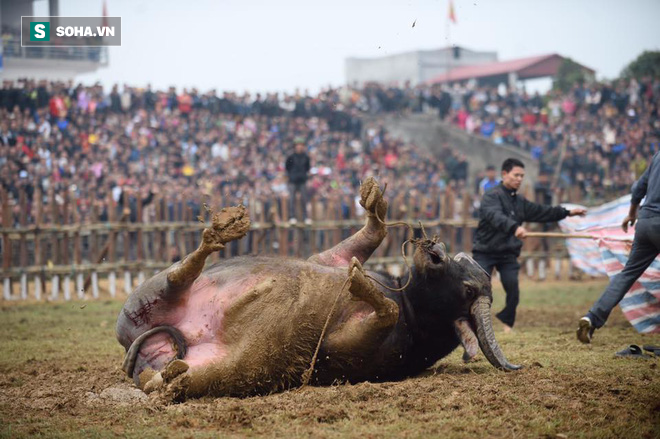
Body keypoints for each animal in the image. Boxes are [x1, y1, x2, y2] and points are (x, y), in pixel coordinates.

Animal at [117, 178, 520, 402]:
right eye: (460, 267)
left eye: (470, 290)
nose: (434, 251)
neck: (408, 302)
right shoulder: (327, 258)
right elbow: (372, 235)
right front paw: (375, 205)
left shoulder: (345, 348)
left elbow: (383, 310)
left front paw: (359, 283)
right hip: (144, 301)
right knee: (183, 274)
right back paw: (223, 230)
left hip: (230, 368)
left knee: (169, 378)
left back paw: (169, 377)